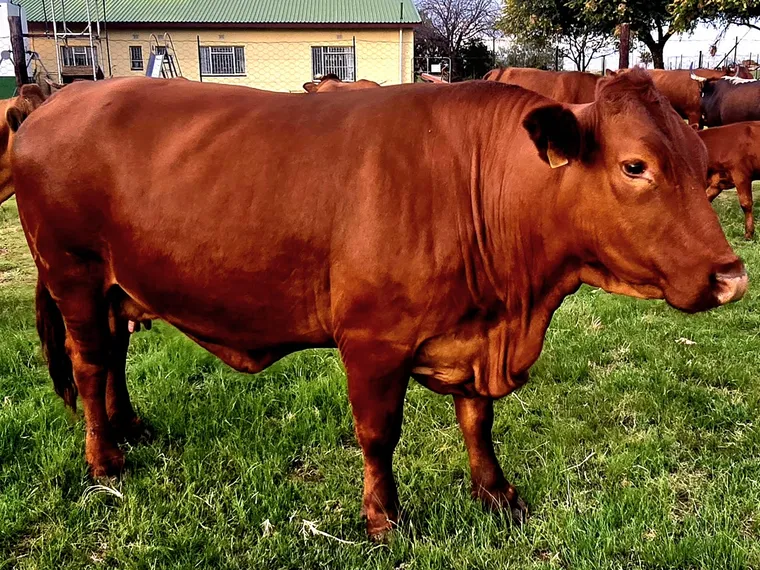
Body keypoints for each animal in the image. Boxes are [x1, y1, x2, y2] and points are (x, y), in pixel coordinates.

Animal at [12, 70, 747, 540]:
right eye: (635, 166)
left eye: (698, 155)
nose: (732, 276)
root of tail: (57, 102)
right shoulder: (373, 341)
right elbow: (378, 434)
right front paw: (383, 519)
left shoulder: (472, 330)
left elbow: (478, 420)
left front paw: (496, 493)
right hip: (73, 273)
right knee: (89, 364)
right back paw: (104, 461)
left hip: (117, 285)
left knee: (114, 356)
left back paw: (129, 426)